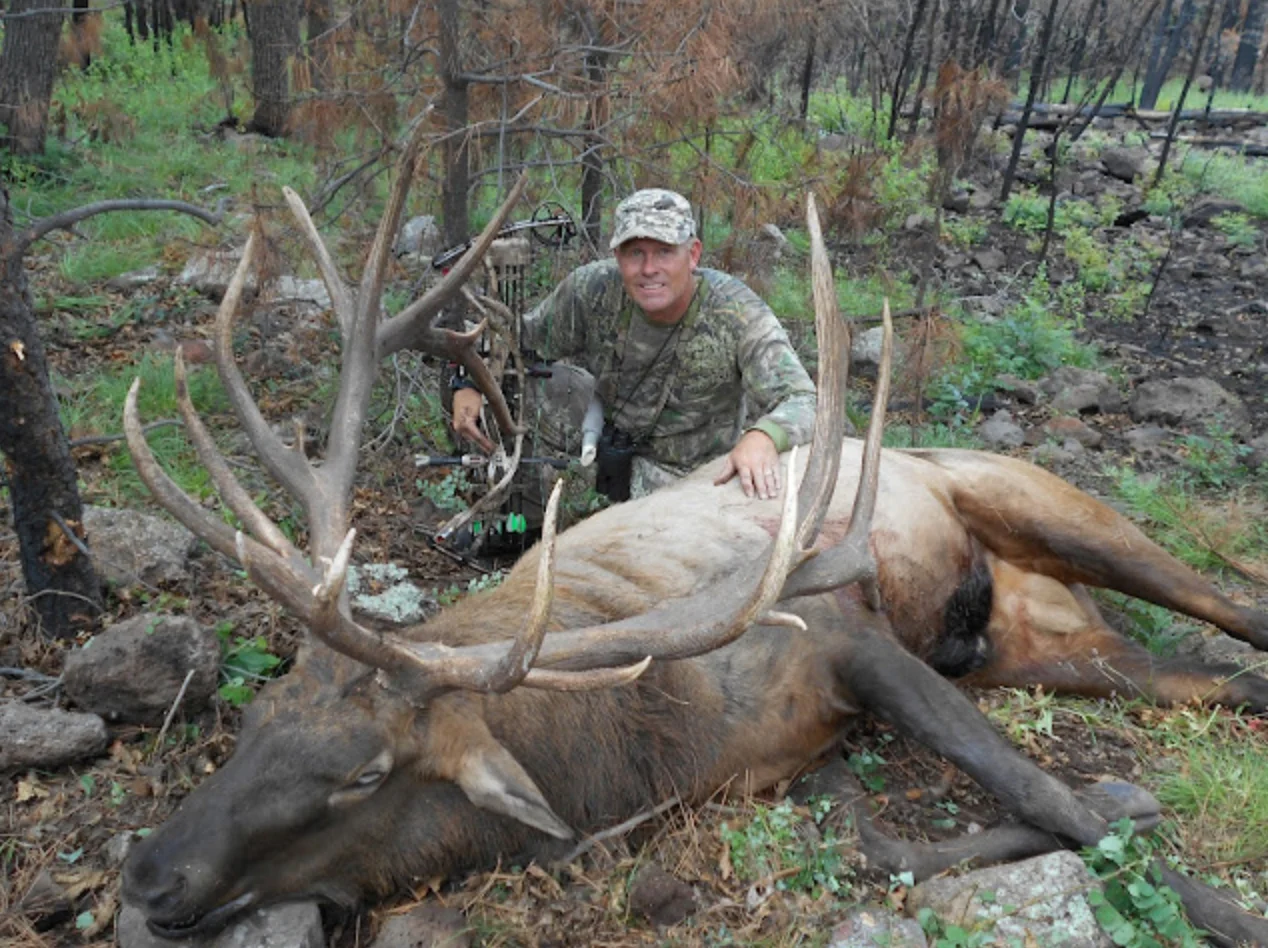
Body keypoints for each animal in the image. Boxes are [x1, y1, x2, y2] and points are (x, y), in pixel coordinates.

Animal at [121, 129, 1268, 942]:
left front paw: (1208, 901)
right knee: (1220, 678)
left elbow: (1038, 788)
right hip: (1044, 647)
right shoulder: (790, 761)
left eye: (361, 774)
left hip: (1047, 506)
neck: (638, 751)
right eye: (257, 714)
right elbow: (886, 847)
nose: (148, 877)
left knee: (1231, 608)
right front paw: (1130, 799)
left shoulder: (847, 636)